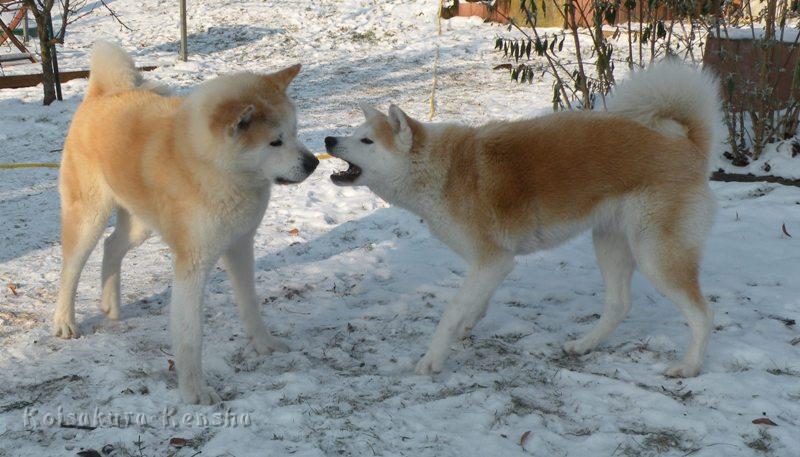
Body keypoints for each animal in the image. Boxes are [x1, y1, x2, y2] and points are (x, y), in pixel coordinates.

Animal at [53, 41, 318, 400]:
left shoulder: (240, 245)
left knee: (112, 246)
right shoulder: (192, 264)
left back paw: (111, 305)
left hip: (140, 225)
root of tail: (103, 93)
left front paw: (263, 344)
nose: (313, 163)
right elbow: (191, 336)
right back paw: (64, 321)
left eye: (294, 132)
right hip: (89, 218)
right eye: (274, 141)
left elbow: (250, 304)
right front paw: (195, 392)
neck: (213, 168)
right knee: (71, 269)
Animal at [322, 62, 720, 380]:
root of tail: (687, 146)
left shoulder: (493, 260)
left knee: (702, 315)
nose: (328, 139)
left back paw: (689, 366)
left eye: (366, 141)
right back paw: (584, 345)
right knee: (619, 304)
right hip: (610, 242)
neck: (442, 172)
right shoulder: (493, 264)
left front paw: (432, 359)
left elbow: (451, 312)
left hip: (655, 254)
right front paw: (467, 326)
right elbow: (473, 305)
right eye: (352, 134)